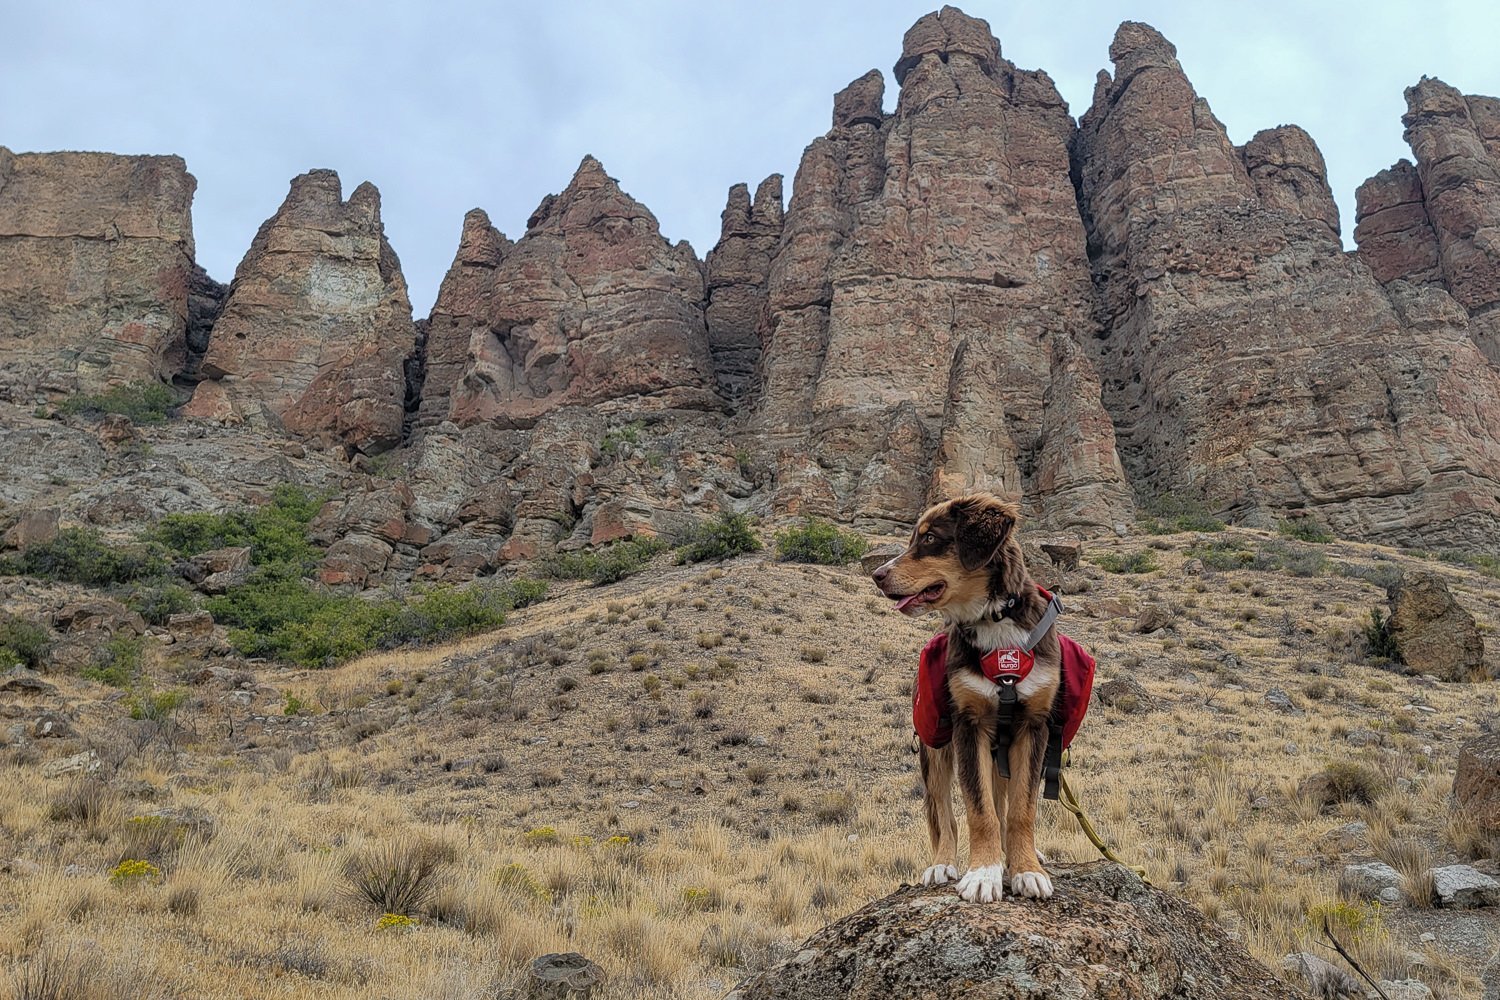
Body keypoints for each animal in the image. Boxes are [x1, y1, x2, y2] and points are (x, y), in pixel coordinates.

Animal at [876, 497, 1062, 905]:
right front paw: (982, 874)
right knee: (943, 815)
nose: (877, 575)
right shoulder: (967, 724)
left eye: (930, 538)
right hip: (934, 749)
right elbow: (979, 811)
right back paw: (942, 864)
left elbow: (1021, 810)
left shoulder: (1033, 725)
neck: (995, 622)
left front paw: (1026, 869)